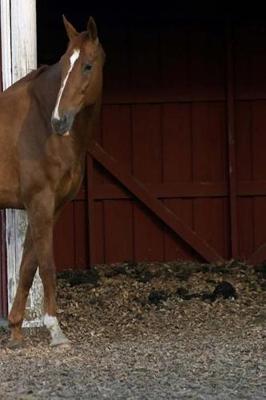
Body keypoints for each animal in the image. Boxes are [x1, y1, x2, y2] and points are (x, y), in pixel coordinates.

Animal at [0, 16, 105, 346]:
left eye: (87, 65)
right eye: (63, 64)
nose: (60, 121)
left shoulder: (51, 206)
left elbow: (27, 266)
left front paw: (16, 329)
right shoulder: (40, 201)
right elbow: (46, 265)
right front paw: (55, 330)